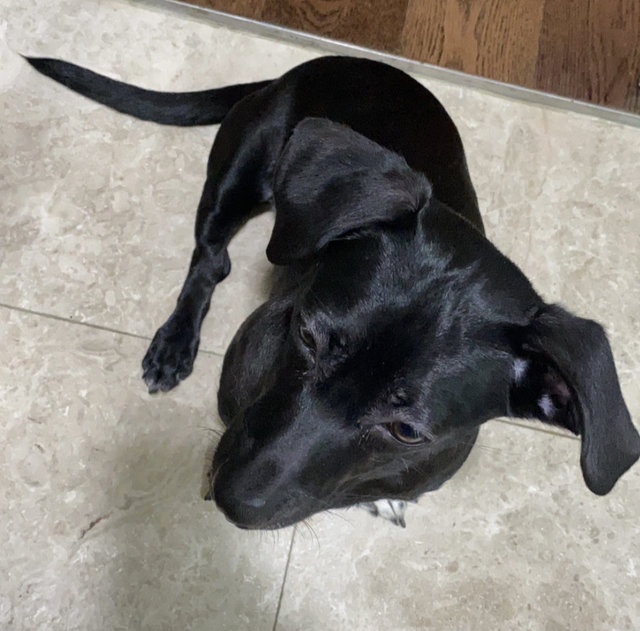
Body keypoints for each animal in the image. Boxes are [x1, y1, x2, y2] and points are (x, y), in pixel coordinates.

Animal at [28, 54, 640, 532]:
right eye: (306, 335)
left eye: (407, 431)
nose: (228, 497)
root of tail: (311, 65)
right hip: (236, 168)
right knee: (210, 258)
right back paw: (175, 343)